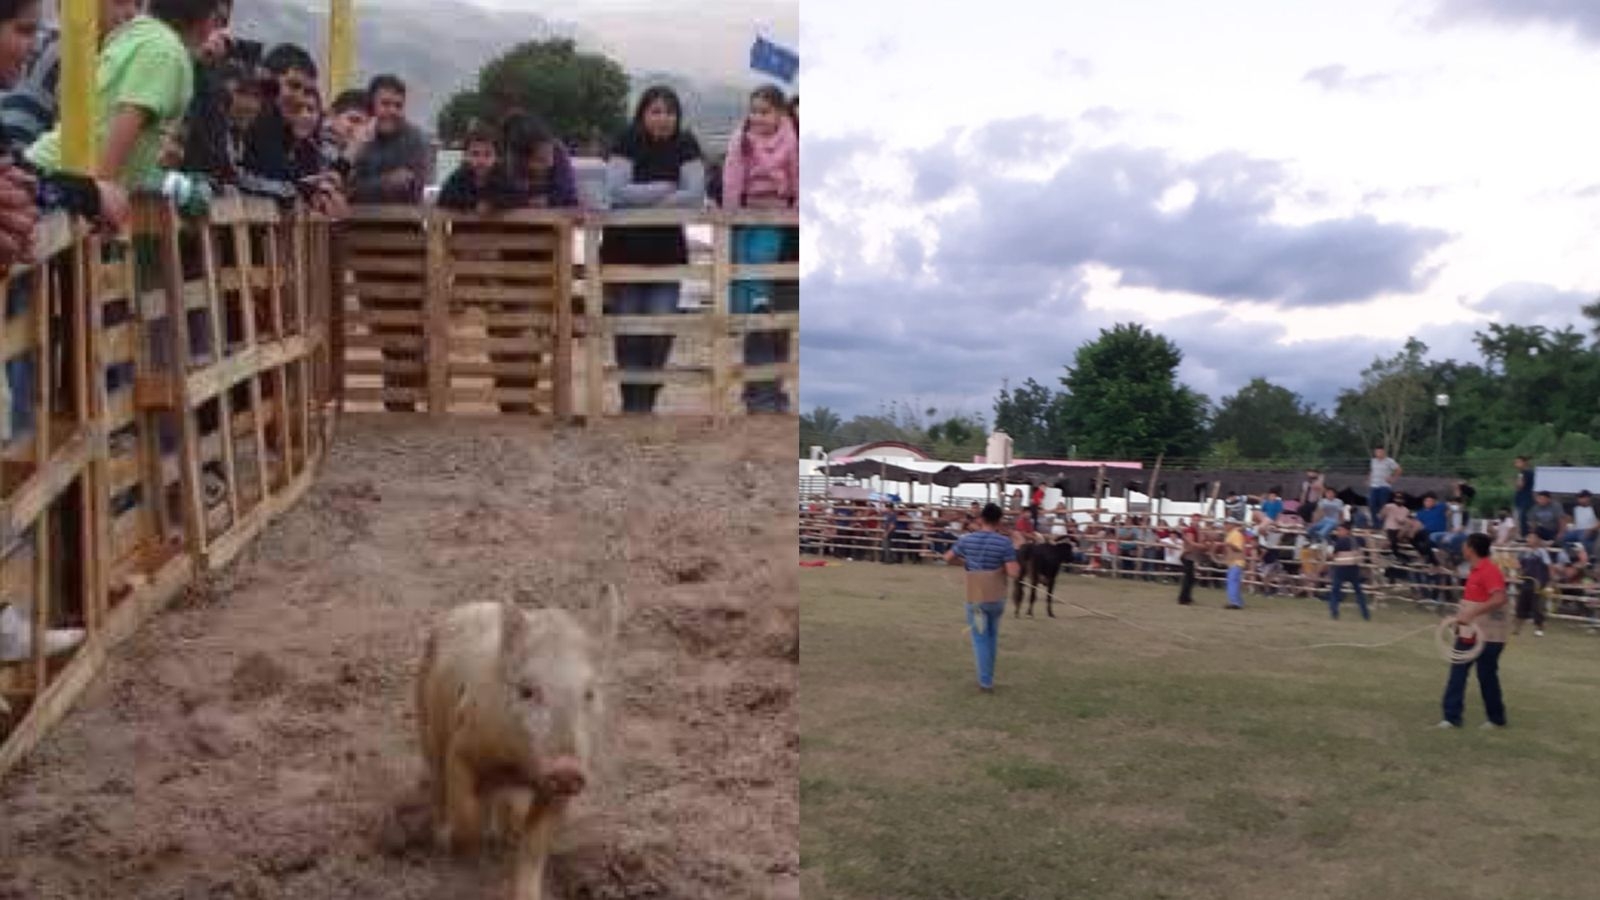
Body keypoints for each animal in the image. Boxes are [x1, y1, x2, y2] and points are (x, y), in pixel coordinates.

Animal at [416, 586, 620, 890]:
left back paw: (507, 831)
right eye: (527, 691)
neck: (518, 767)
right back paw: (440, 838)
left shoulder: (559, 788)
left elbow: (534, 848)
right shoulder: (462, 748)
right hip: (425, 718)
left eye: (589, 693)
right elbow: (465, 816)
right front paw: (462, 851)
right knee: (437, 779)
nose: (567, 768)